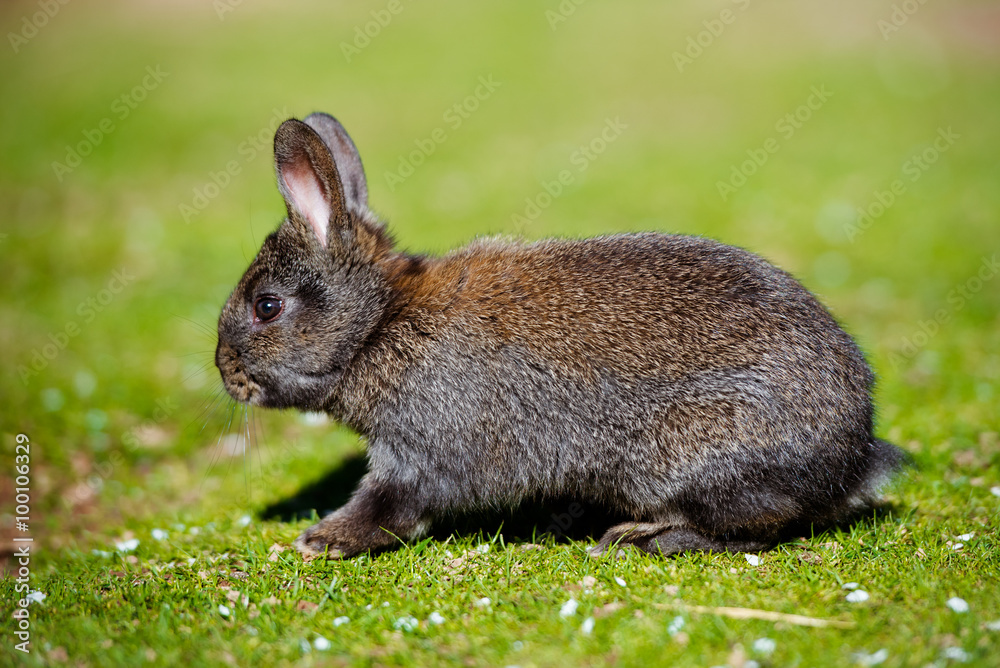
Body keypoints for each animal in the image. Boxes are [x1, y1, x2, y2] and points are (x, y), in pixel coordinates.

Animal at [215, 111, 904, 559]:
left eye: (267, 306)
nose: (226, 372)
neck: (380, 323)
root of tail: (853, 459)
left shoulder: (422, 450)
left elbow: (390, 505)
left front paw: (323, 540)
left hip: (699, 453)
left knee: (755, 526)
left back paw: (641, 537)